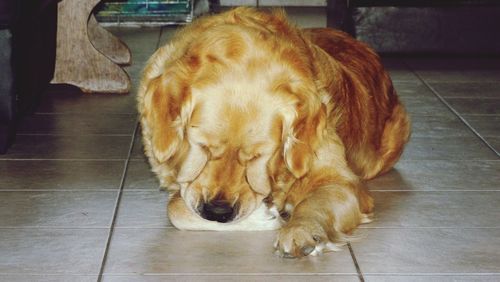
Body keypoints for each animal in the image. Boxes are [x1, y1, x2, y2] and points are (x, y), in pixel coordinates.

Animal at [138, 7, 410, 258]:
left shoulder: (340, 181)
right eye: (202, 147)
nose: (218, 212)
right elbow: (175, 208)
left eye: (258, 156)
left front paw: (300, 229)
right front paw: (262, 217)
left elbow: (316, 203)